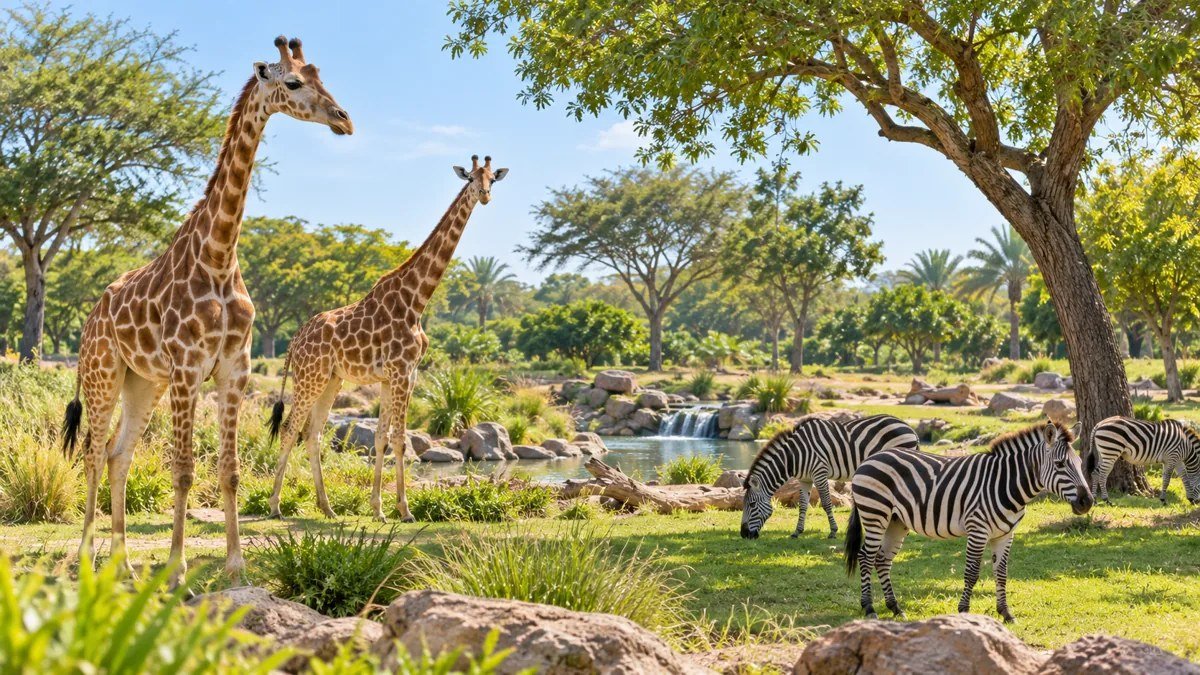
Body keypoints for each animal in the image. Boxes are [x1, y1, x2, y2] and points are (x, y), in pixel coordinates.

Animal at [61, 36, 353, 585]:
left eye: (321, 75)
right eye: (293, 82)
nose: (344, 120)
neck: (218, 256)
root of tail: (89, 318)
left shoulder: (233, 368)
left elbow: (229, 470)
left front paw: (237, 566)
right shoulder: (187, 367)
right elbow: (183, 470)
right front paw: (176, 568)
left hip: (142, 382)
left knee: (117, 455)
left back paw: (124, 566)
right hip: (103, 372)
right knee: (91, 452)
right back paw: (90, 558)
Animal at [267, 155, 508, 522]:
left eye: (493, 178)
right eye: (470, 178)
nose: (484, 196)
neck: (416, 300)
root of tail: (294, 340)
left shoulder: (399, 375)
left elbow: (382, 438)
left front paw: (379, 509)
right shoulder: (401, 372)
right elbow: (399, 440)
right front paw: (404, 511)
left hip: (332, 379)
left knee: (313, 433)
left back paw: (327, 507)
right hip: (311, 376)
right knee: (291, 428)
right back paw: (275, 505)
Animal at [740, 414, 918, 540]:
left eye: (752, 504)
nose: (743, 534)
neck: (793, 456)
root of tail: (909, 427)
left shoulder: (819, 472)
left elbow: (826, 503)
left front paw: (833, 531)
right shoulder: (804, 479)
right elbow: (803, 505)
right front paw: (797, 531)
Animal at [845, 421, 1092, 623]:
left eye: (1080, 462)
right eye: (1060, 464)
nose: (1087, 501)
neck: (1005, 483)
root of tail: (870, 459)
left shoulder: (1005, 534)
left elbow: (1001, 573)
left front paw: (1006, 613)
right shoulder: (978, 530)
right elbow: (972, 572)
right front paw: (964, 610)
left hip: (896, 522)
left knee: (882, 559)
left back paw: (895, 608)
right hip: (875, 513)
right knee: (866, 557)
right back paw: (869, 608)